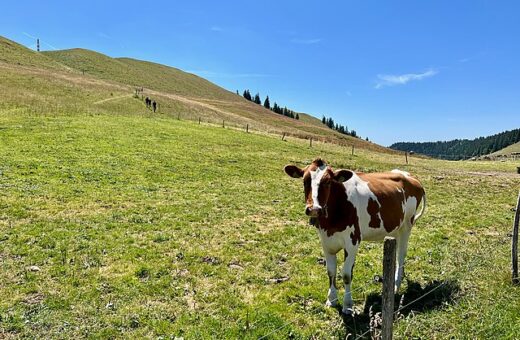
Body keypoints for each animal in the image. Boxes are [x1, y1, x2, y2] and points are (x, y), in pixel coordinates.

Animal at [284, 158, 426, 314]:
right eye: (305, 180)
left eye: (328, 182)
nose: (314, 209)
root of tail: (411, 177)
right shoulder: (326, 242)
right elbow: (331, 271)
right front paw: (331, 300)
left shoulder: (352, 241)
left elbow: (346, 274)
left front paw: (348, 305)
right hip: (395, 228)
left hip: (407, 226)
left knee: (401, 256)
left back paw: (396, 286)